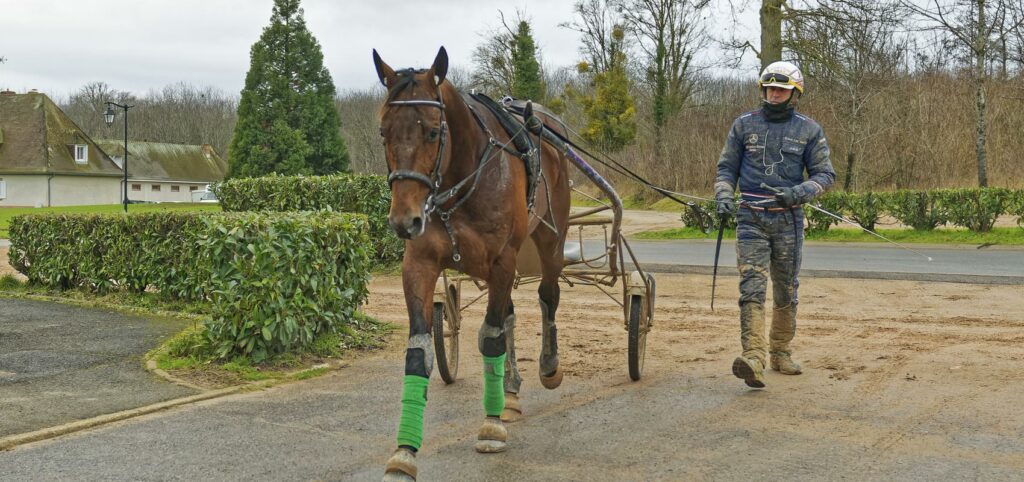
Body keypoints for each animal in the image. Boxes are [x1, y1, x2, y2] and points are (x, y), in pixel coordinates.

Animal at [372, 46, 573, 482]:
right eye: (383, 132)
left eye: (433, 131)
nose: (403, 220)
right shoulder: (420, 262)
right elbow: (419, 352)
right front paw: (404, 451)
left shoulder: (502, 261)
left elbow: (491, 337)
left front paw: (491, 426)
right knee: (509, 313)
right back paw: (509, 392)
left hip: (550, 238)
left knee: (547, 295)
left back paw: (547, 367)